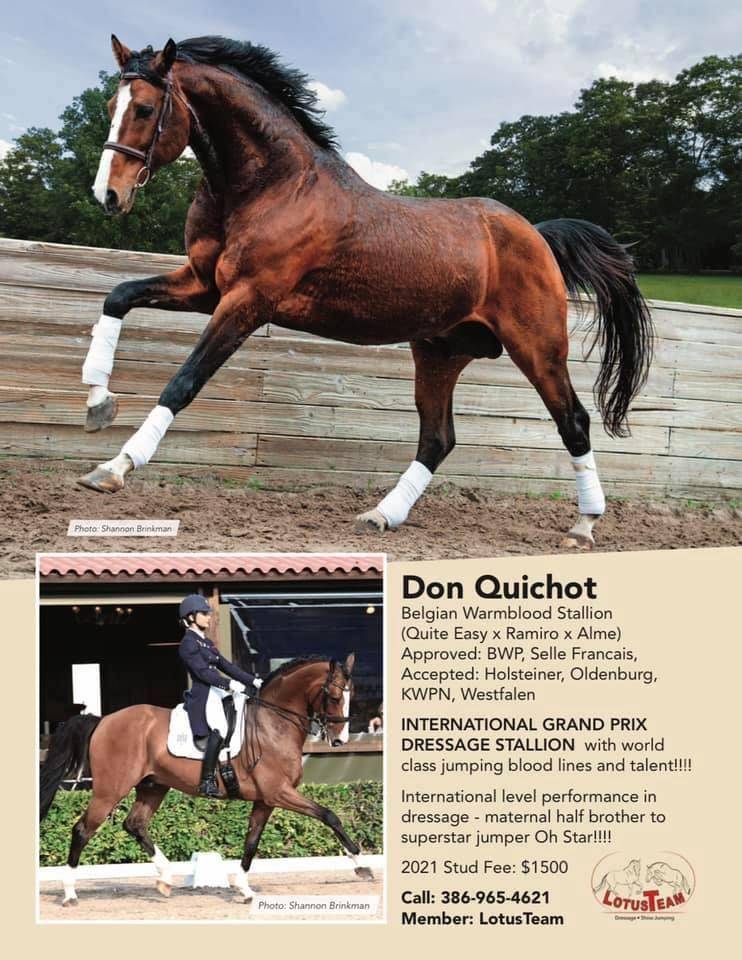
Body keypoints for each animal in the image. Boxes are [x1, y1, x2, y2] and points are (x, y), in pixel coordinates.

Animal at [39, 654, 373, 906]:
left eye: (352, 695)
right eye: (333, 696)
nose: (340, 741)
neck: (273, 724)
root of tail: (103, 720)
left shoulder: (266, 799)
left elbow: (252, 841)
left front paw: (243, 888)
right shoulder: (280, 793)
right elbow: (329, 815)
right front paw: (361, 865)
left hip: (153, 786)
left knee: (135, 824)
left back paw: (165, 878)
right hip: (110, 790)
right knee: (83, 829)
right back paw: (69, 893)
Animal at [77, 35, 654, 549]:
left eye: (145, 108)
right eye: (110, 105)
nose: (108, 195)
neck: (272, 186)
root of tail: (536, 234)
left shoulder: (247, 300)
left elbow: (183, 382)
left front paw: (114, 466)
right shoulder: (204, 286)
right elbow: (118, 295)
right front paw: (98, 404)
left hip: (536, 347)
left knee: (573, 422)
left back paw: (583, 525)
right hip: (440, 352)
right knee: (438, 438)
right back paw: (381, 515)